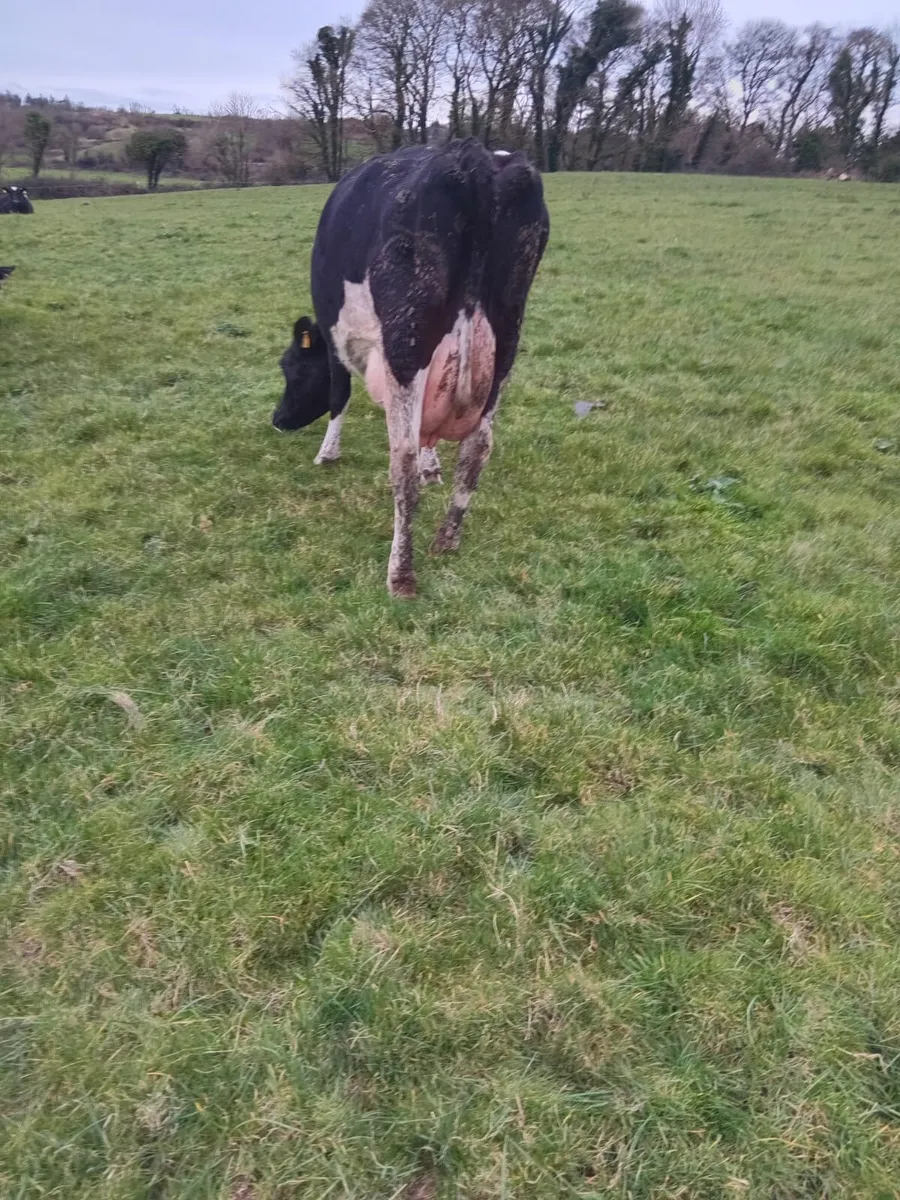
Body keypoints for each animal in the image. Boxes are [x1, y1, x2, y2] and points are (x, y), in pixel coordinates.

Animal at [274, 137, 549, 598]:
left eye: (290, 368)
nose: (276, 420)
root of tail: (472, 158)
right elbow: (428, 431)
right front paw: (431, 467)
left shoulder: (335, 339)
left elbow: (339, 394)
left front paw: (327, 453)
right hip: (506, 337)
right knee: (477, 449)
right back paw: (447, 540)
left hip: (407, 340)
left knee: (399, 461)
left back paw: (400, 574)